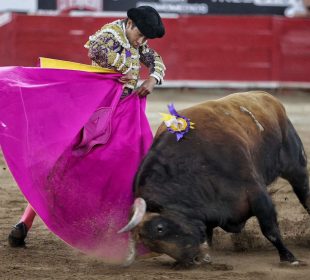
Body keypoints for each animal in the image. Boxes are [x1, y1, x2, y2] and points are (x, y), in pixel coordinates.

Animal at [119, 91, 310, 266]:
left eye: (160, 228)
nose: (191, 260)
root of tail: (268, 97)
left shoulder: (256, 192)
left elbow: (269, 228)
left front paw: (289, 258)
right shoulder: (207, 206)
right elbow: (208, 232)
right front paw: (206, 257)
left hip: (295, 166)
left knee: (304, 194)